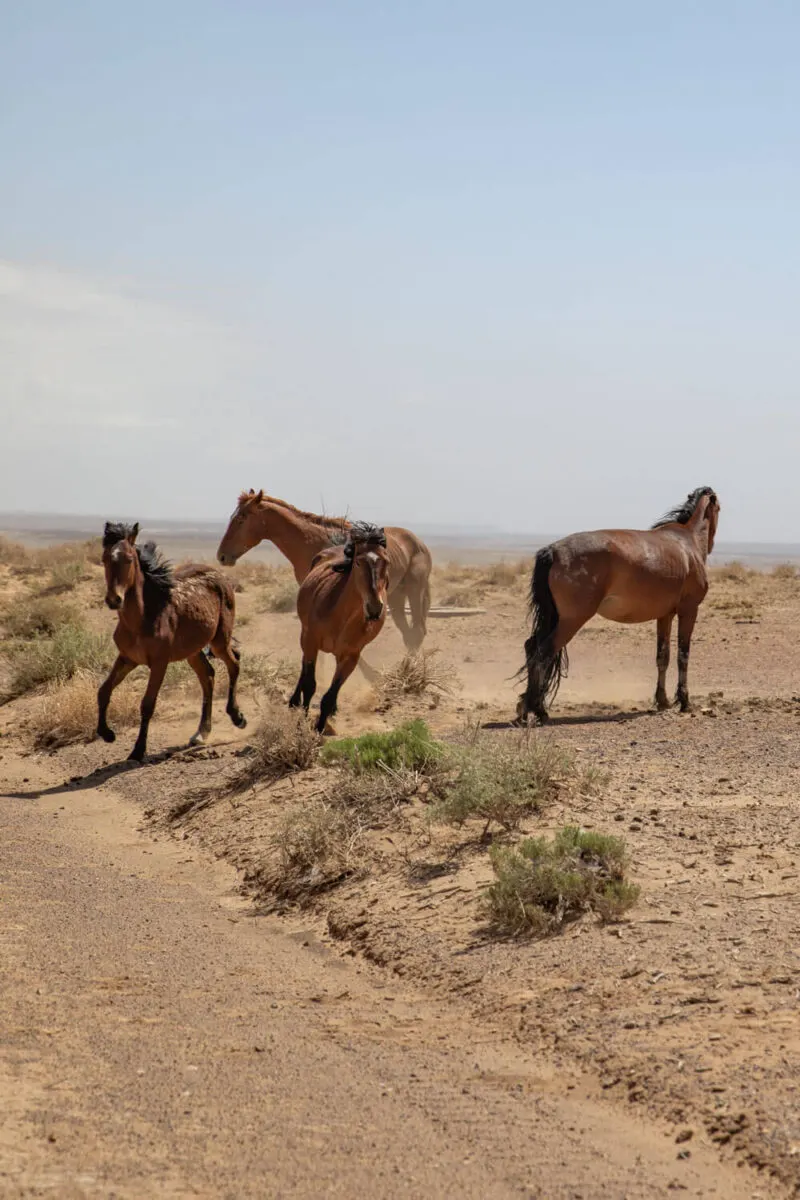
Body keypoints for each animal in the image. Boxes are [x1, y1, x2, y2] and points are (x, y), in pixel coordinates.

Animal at [97, 523, 247, 758]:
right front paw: (107, 734)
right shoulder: (127, 659)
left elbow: (147, 704)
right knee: (208, 676)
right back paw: (202, 732)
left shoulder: (159, 663)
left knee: (234, 663)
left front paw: (138, 750)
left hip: (219, 641)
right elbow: (103, 691)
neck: (143, 618)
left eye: (129, 559)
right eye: (104, 559)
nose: (114, 600)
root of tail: (221, 576)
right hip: (193, 651)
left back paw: (237, 717)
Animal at [215, 489, 431, 652]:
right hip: (396, 597)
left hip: (413, 591)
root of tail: (420, 543)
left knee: (417, 632)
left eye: (241, 518)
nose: (222, 556)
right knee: (409, 634)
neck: (315, 543)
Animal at [291, 523, 391, 734]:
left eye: (386, 562)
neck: (341, 617)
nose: (374, 608)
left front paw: (320, 728)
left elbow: (330, 695)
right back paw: (294, 701)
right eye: (359, 562)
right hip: (305, 637)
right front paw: (302, 722)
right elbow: (309, 684)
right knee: (304, 668)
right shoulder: (311, 641)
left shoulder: (351, 656)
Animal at [515, 484, 724, 720]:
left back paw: (526, 708)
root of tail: (552, 551)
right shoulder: (688, 611)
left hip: (556, 618)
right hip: (571, 620)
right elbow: (683, 655)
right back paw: (538, 710)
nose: (712, 545)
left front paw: (662, 701)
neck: (687, 542)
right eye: (719, 508)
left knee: (532, 647)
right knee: (544, 652)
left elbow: (663, 656)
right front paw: (685, 702)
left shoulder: (665, 615)